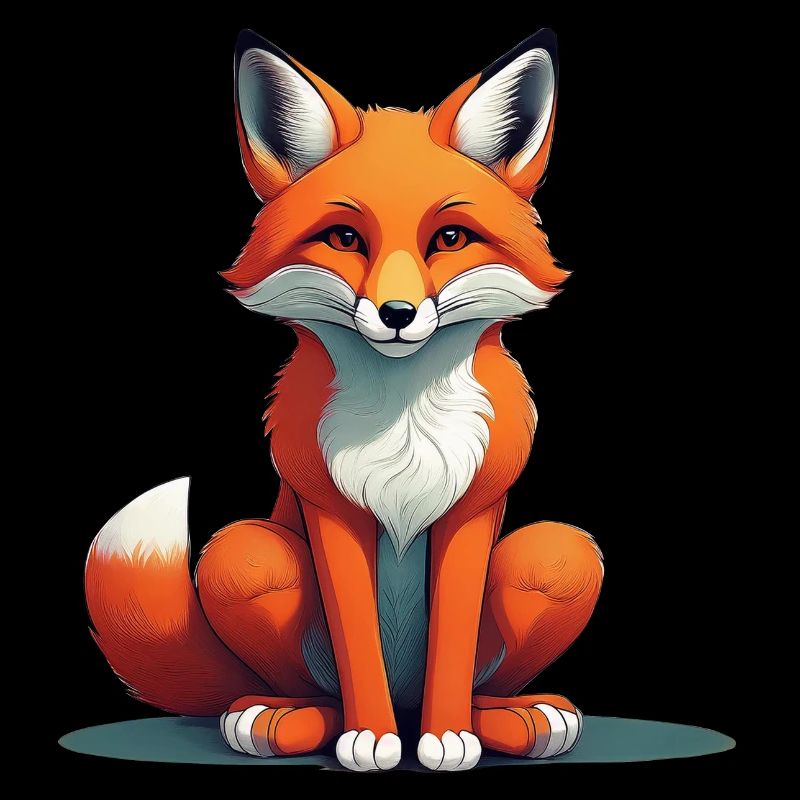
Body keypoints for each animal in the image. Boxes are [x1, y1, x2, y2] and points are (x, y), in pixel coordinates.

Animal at [85, 28, 603, 771]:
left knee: (491, 668)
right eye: (345, 238)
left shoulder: (470, 511)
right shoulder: (332, 510)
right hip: (245, 557)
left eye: (449, 238)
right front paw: (373, 739)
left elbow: (451, 643)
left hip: (559, 558)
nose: (397, 314)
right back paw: (284, 717)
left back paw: (511, 718)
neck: (404, 420)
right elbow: (355, 637)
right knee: (306, 690)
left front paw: (450, 737)